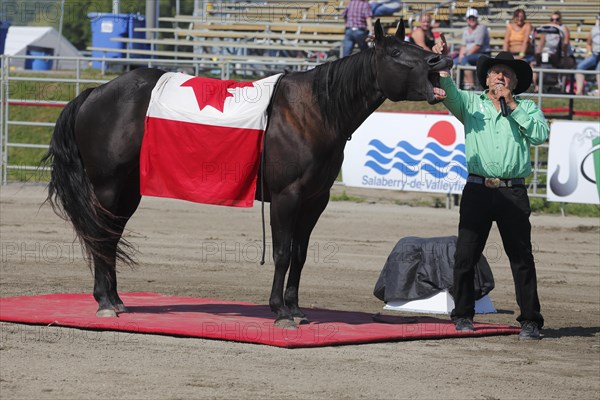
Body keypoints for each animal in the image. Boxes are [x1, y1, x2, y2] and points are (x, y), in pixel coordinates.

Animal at [44, 20, 452, 328]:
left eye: (416, 45)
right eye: (397, 53)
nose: (441, 58)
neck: (313, 112)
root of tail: (95, 92)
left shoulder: (314, 201)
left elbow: (300, 254)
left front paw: (295, 308)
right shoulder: (286, 198)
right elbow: (283, 253)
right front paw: (280, 311)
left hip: (129, 189)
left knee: (109, 237)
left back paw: (115, 299)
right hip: (108, 186)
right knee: (101, 237)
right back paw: (105, 302)